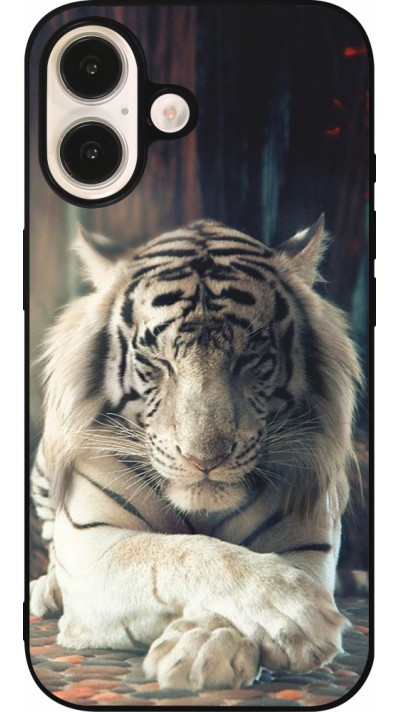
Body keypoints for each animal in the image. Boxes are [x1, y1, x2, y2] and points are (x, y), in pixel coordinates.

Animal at [30, 216, 361, 691]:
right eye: (156, 360)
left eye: (251, 357)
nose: (204, 459)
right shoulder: (94, 543)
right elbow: (181, 552)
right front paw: (292, 612)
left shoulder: (308, 542)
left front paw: (206, 646)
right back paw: (47, 589)